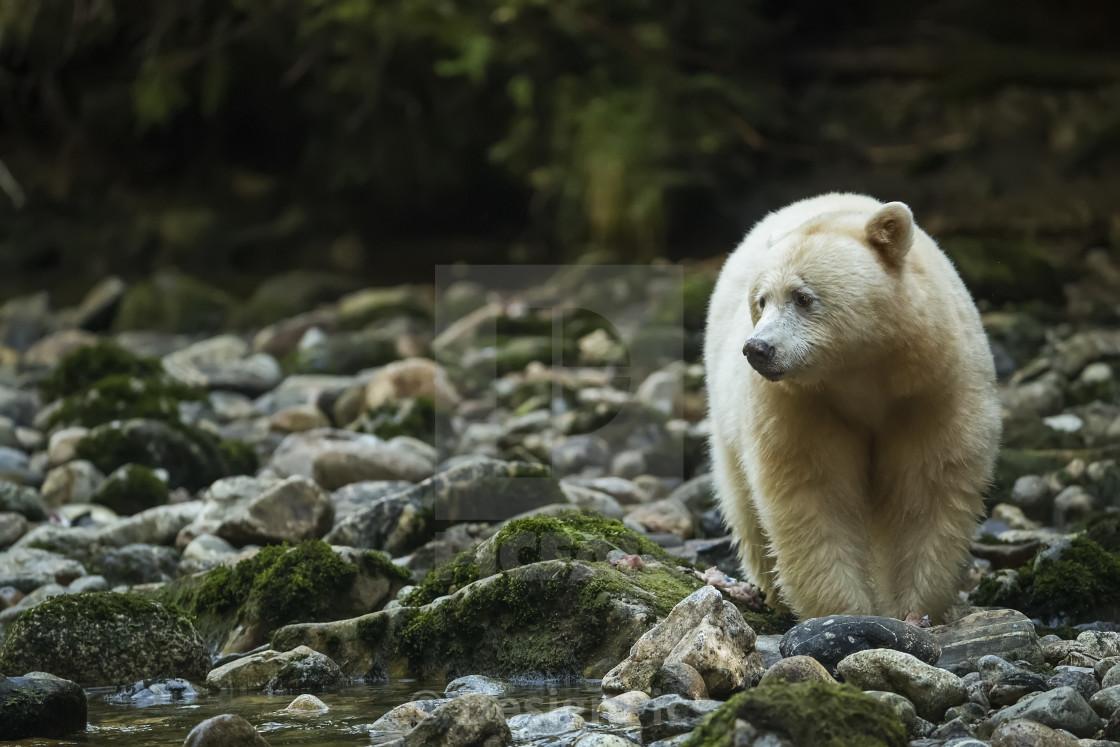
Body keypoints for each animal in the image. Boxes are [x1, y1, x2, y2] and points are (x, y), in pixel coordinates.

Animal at [704, 193, 1000, 622]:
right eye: (761, 300)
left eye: (802, 297)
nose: (757, 349)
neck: (862, 372)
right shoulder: (802, 404)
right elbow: (814, 492)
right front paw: (845, 612)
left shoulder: (934, 389)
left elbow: (926, 487)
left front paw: (913, 609)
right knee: (743, 502)